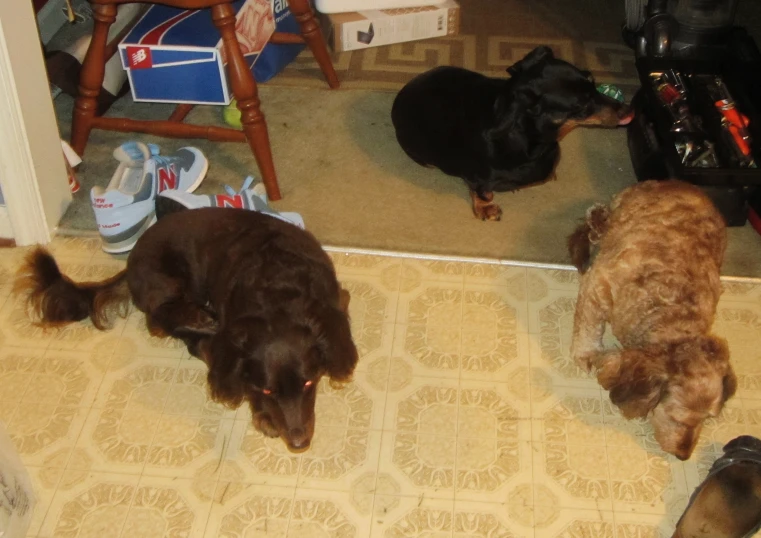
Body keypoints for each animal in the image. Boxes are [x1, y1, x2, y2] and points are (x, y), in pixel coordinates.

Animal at [388, 46, 632, 220]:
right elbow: (483, 192)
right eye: (580, 105)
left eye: (592, 80)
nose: (630, 111)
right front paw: (486, 208)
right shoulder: (477, 177)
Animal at [568, 178, 736, 458]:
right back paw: (597, 223)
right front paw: (585, 353)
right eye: (678, 418)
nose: (683, 455)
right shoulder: (597, 285)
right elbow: (588, 329)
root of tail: (679, 183)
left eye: (707, 419)